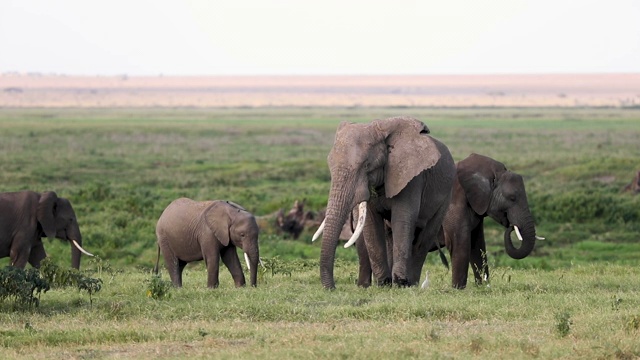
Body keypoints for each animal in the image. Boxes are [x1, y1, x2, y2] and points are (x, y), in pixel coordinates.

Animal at [314, 116, 456, 288]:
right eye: (330, 165)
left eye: (367, 165)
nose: (333, 288)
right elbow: (371, 222)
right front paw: (383, 283)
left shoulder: (412, 178)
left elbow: (402, 219)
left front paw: (400, 283)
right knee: (390, 234)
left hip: (446, 195)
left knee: (425, 236)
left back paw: (411, 283)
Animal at [444, 153, 544, 288]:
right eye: (512, 198)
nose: (512, 226)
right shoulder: (453, 205)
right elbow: (460, 244)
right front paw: (458, 289)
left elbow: (477, 245)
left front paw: (482, 286)